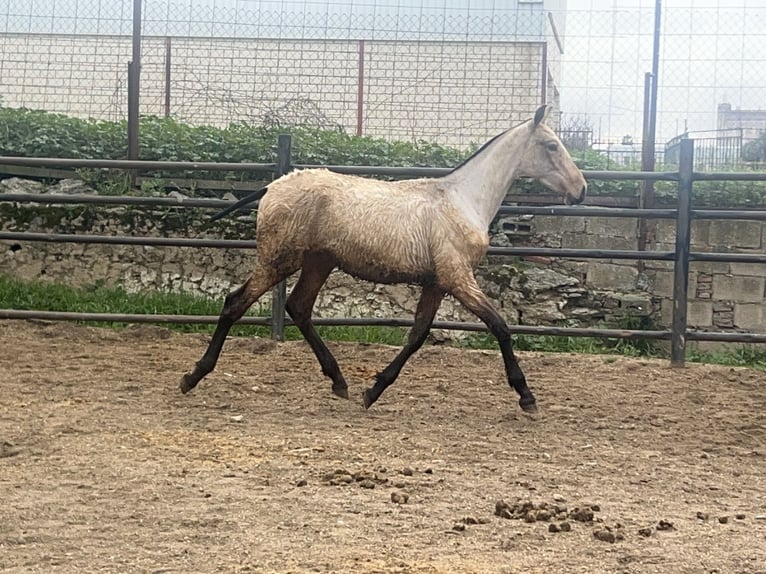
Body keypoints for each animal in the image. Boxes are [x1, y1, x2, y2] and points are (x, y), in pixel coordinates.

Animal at [182, 106, 588, 414]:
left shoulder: (436, 284)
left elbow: (417, 336)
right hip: (278, 260)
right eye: (552, 145)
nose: (581, 190)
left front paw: (372, 391)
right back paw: (192, 376)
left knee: (299, 307)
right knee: (235, 303)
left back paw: (340, 382)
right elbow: (500, 327)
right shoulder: (458, 278)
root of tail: (273, 185)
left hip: (318, 263)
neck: (462, 200)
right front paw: (527, 397)